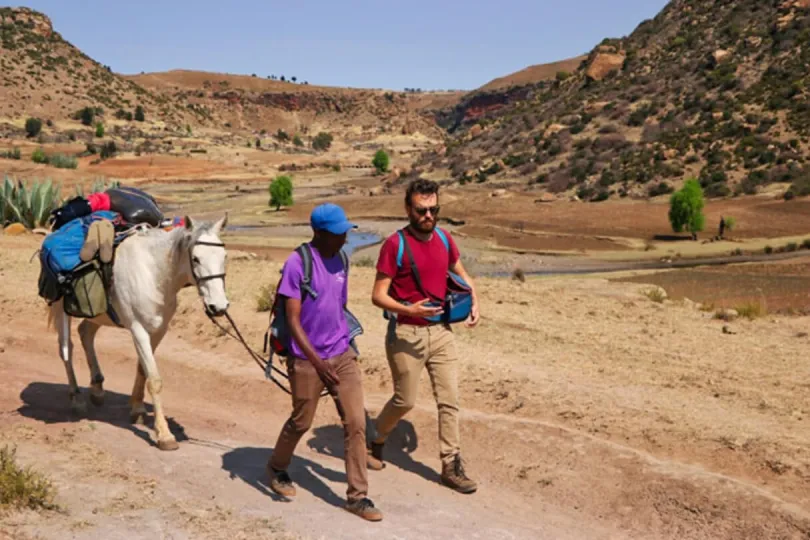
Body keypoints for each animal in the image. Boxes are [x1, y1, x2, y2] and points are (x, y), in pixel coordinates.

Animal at [46, 213, 229, 450]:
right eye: (196, 259)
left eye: (224, 256)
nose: (219, 307)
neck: (154, 273)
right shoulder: (138, 330)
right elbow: (155, 379)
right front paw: (164, 435)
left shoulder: (158, 331)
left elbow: (143, 370)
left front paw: (137, 409)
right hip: (61, 310)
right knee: (65, 349)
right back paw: (77, 399)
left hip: (99, 312)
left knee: (85, 332)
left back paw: (97, 389)